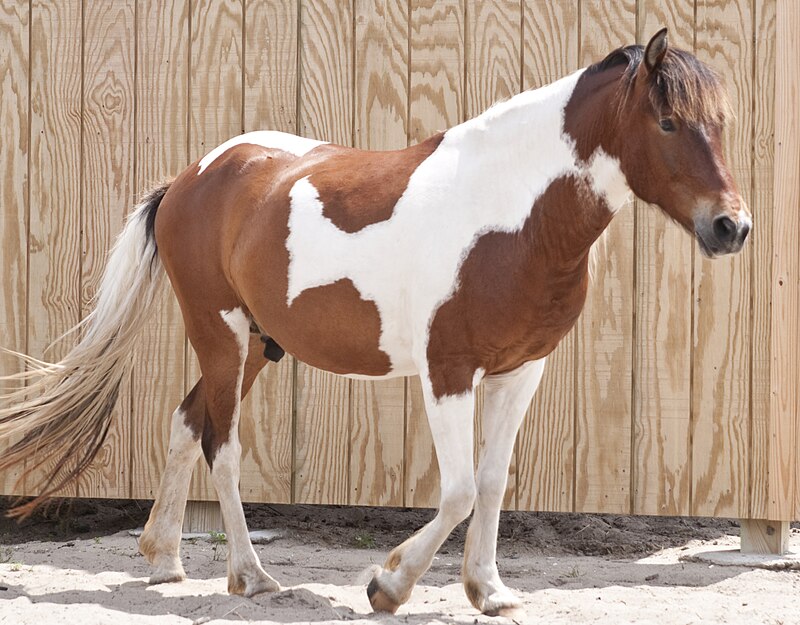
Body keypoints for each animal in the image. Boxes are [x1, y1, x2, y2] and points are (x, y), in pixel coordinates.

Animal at [0, 29, 752, 616]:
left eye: (722, 123)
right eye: (667, 124)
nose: (732, 227)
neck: (512, 215)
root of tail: (190, 177)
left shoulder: (519, 372)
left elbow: (491, 481)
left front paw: (488, 589)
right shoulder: (449, 371)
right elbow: (457, 490)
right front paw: (388, 585)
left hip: (256, 346)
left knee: (188, 424)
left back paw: (163, 558)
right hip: (222, 335)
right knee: (223, 446)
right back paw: (251, 576)